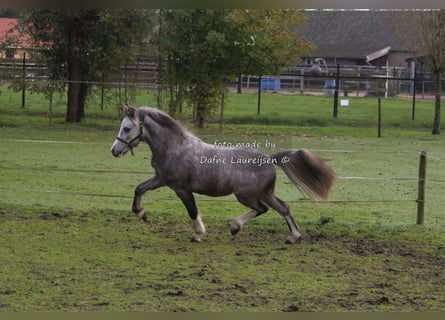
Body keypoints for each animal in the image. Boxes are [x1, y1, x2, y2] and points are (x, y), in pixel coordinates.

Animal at [110, 106, 332, 244]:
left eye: (127, 128)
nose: (114, 151)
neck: (175, 147)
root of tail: (269, 158)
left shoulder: (182, 188)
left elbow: (192, 210)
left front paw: (198, 234)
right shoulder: (162, 179)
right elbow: (139, 189)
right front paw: (142, 214)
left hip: (247, 196)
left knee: (263, 209)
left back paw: (235, 226)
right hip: (265, 193)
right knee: (283, 208)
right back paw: (293, 237)